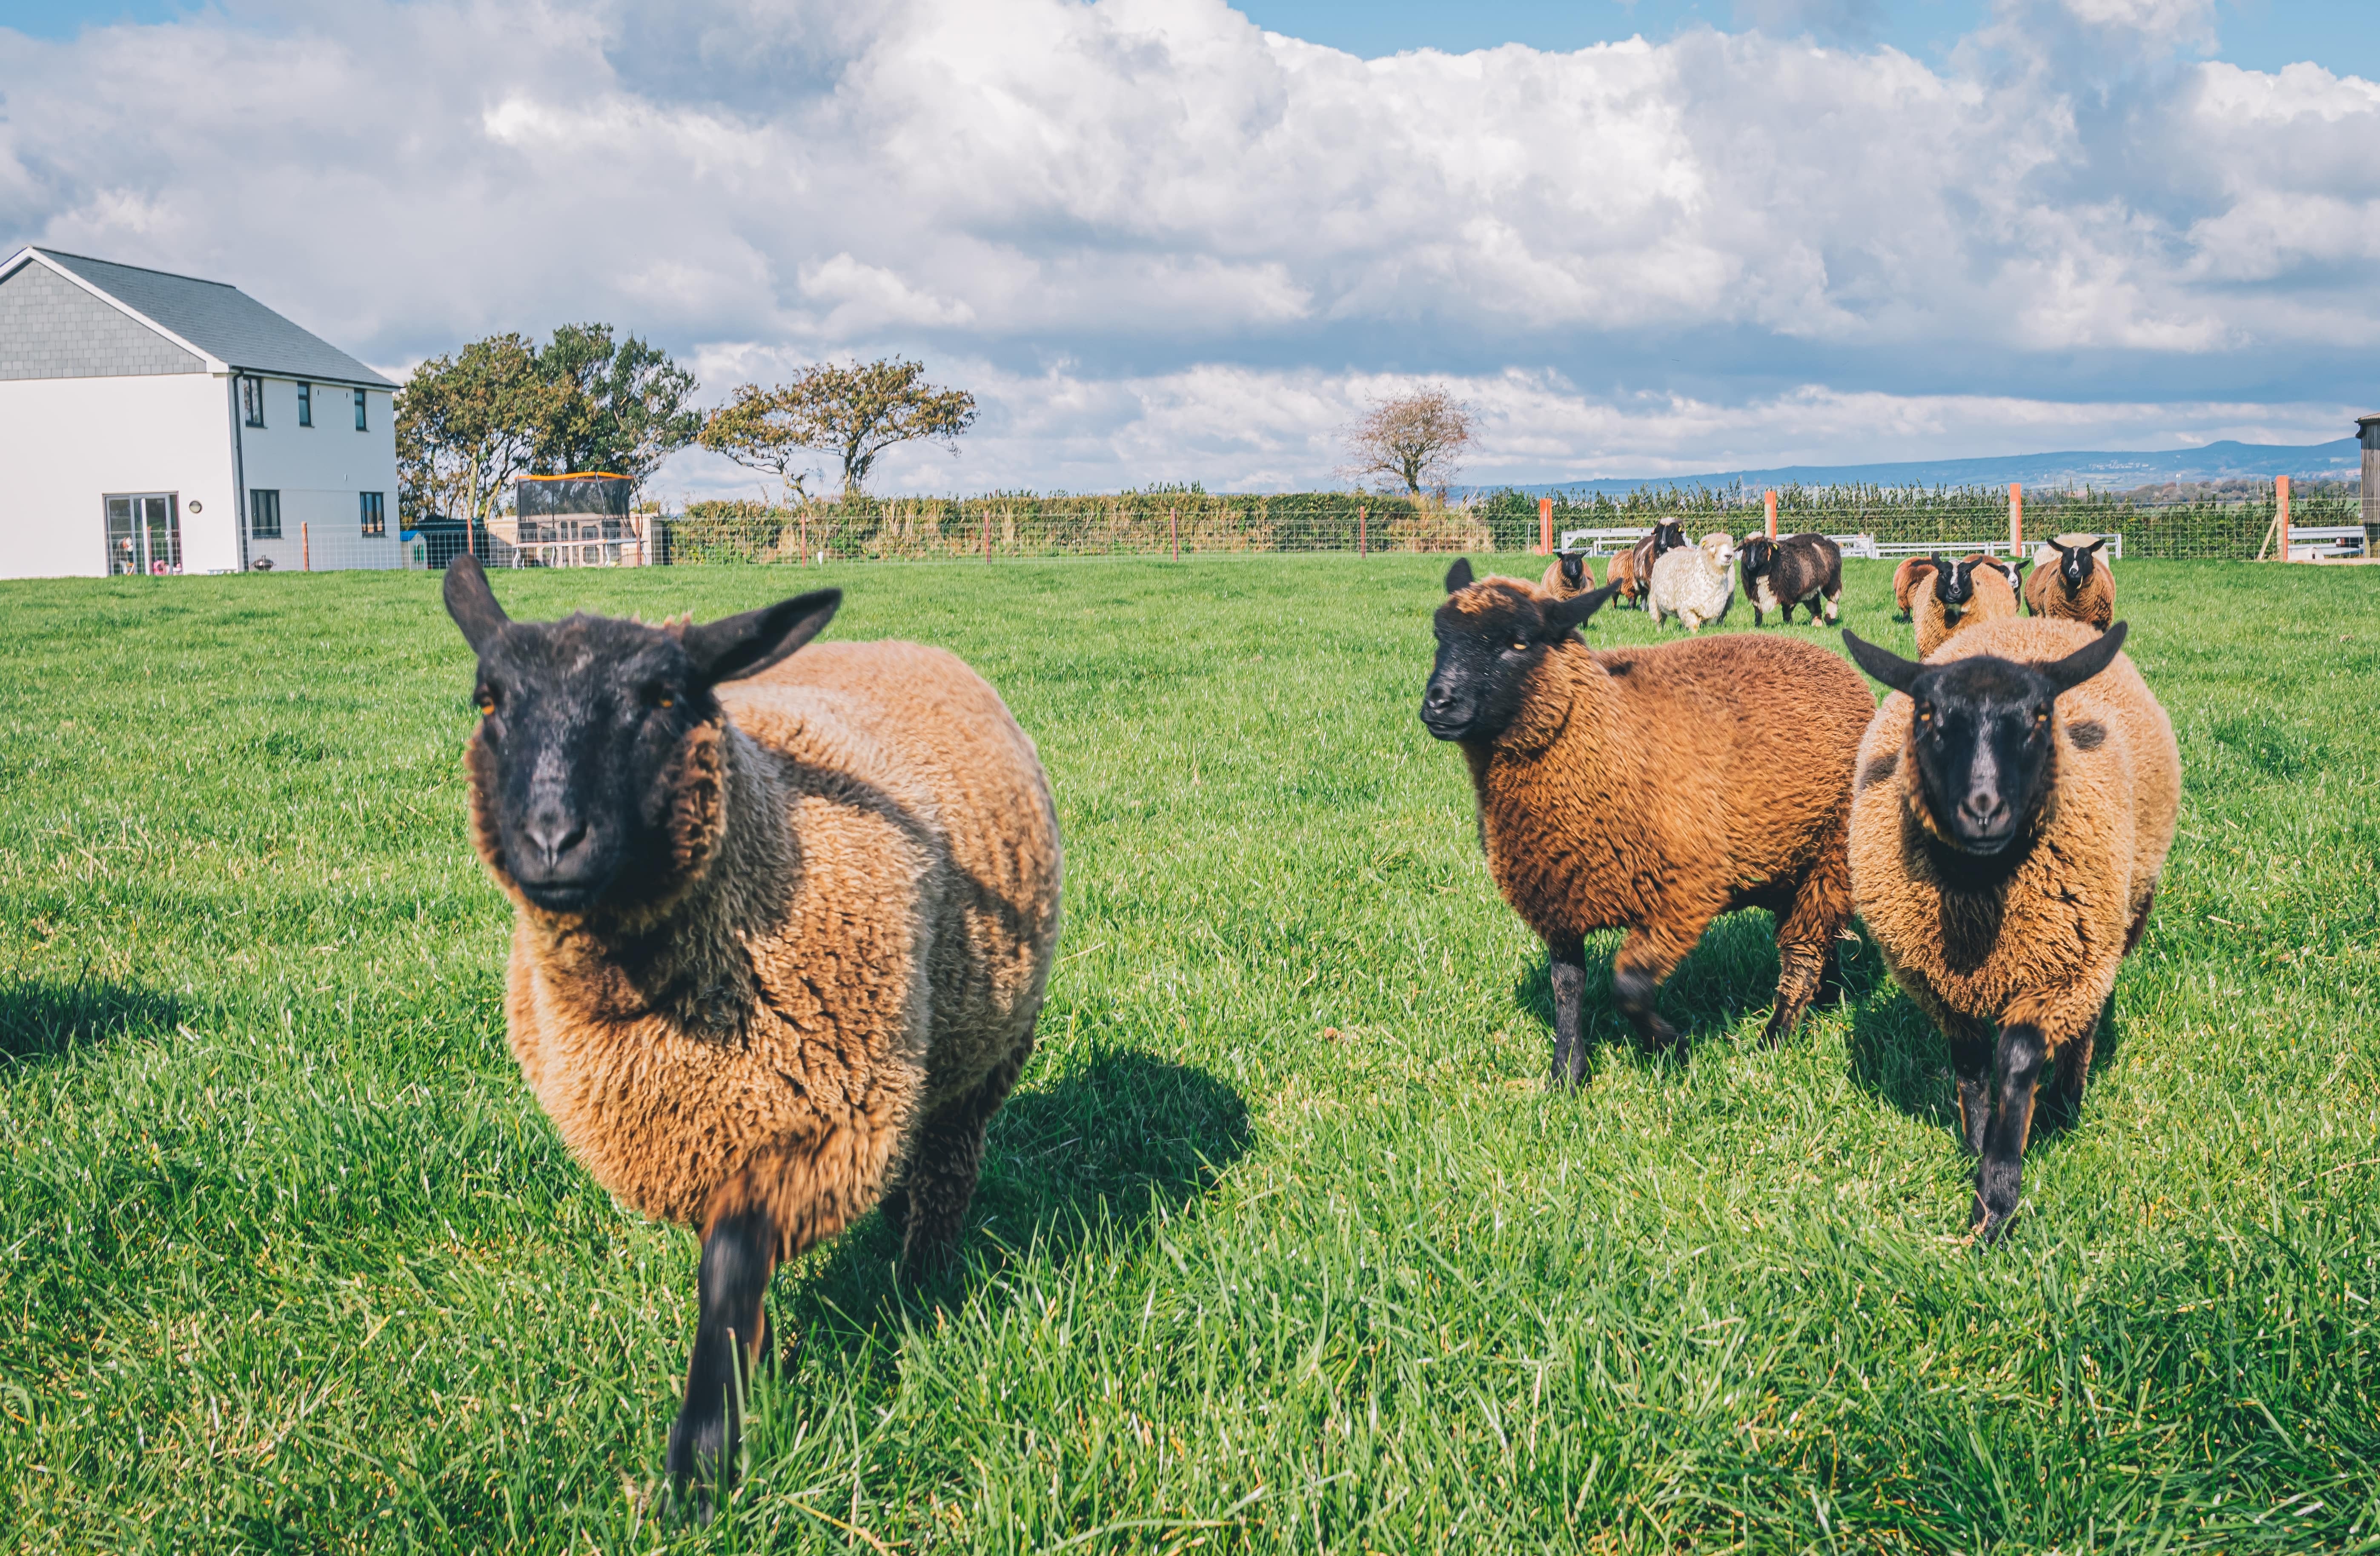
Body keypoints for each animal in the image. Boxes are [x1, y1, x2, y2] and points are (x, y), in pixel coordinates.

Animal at [440, 557, 1071, 1504]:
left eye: (664, 696)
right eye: (490, 700)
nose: (551, 840)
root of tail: (909, 646)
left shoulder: (822, 1126)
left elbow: (729, 1266)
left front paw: (702, 1461)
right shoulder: (696, 1130)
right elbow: (735, 1275)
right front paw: (756, 1374)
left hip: (984, 1049)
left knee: (947, 1164)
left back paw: (921, 1280)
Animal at [1409, 561, 1875, 1085]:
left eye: (1519, 642)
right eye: (1440, 635)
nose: (1438, 703)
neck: (1606, 734)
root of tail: (1835, 664)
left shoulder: (1684, 894)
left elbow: (1628, 985)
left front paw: (1672, 1044)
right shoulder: (1560, 899)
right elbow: (1567, 987)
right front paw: (1566, 1075)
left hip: (1829, 854)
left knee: (1802, 952)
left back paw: (1775, 1035)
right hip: (1789, 862)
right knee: (1822, 938)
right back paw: (1827, 998)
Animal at [1837, 618, 2180, 1247]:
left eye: (2040, 716)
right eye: (1926, 713)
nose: (1983, 809)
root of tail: (2039, 622)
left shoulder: (2060, 972)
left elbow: (2017, 1061)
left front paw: (1994, 1200)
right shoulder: (1939, 983)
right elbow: (1971, 1064)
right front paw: (1975, 1144)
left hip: (2118, 920)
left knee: (2088, 1017)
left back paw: (2064, 1103)